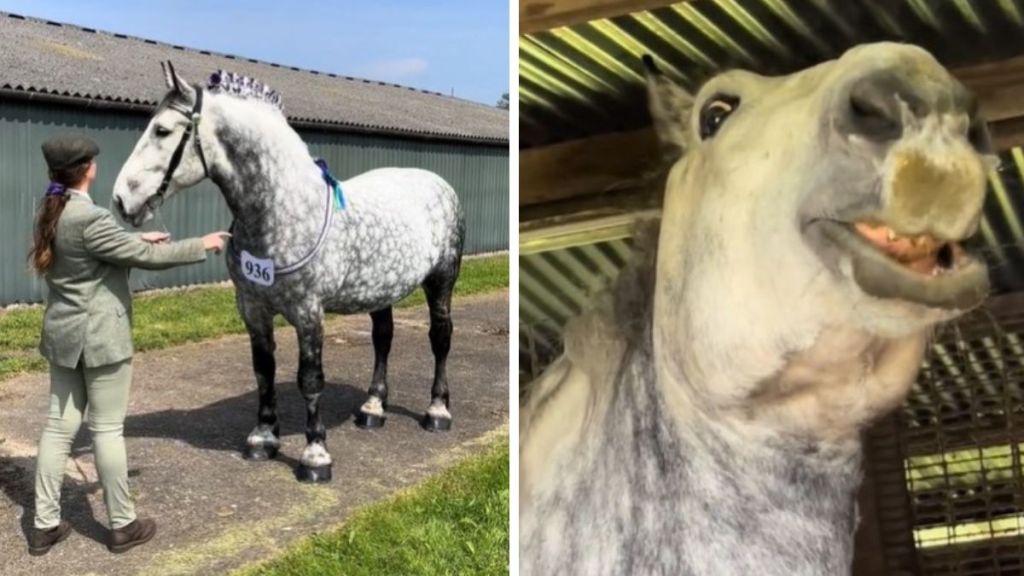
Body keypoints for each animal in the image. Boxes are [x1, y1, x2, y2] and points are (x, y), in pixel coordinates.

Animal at [113, 63, 464, 479]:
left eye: (162, 130)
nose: (121, 200)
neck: (284, 210)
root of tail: (439, 183)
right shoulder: (252, 308)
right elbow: (263, 370)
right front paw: (263, 437)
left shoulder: (309, 313)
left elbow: (310, 379)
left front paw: (315, 455)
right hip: (381, 290)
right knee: (383, 338)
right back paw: (373, 408)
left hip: (442, 281)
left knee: (440, 337)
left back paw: (437, 411)